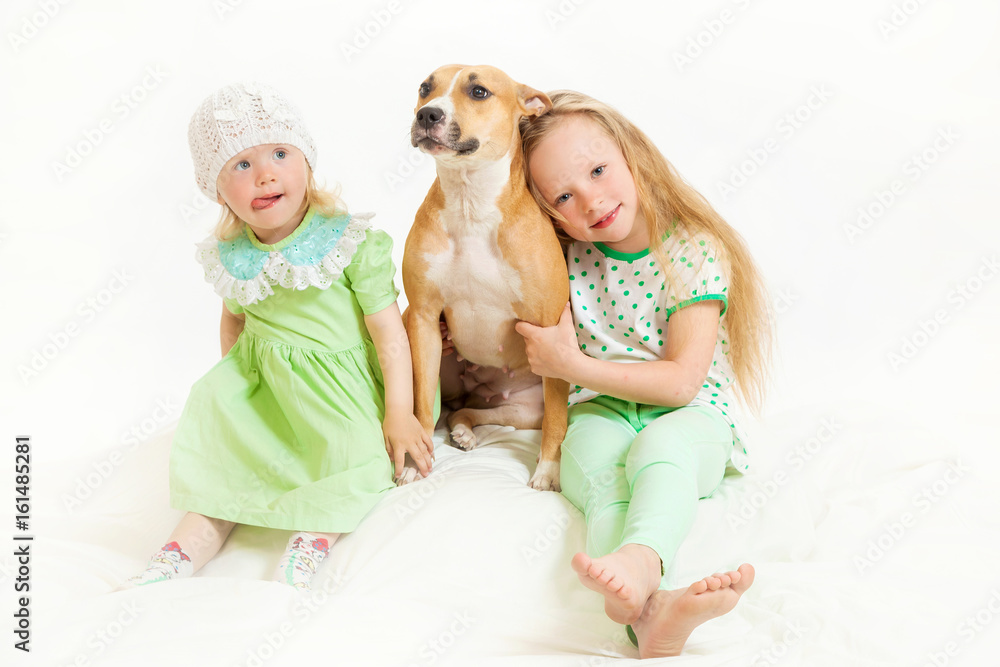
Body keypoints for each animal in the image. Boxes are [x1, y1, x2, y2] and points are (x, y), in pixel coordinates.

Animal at [402, 64, 569, 491]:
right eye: (424, 88)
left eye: (478, 91)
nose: (428, 114)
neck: (470, 202)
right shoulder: (423, 318)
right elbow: (421, 405)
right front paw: (414, 463)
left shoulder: (549, 329)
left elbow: (558, 421)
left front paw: (547, 472)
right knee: (458, 410)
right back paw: (462, 431)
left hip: (525, 408)